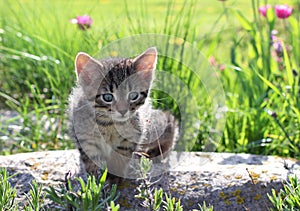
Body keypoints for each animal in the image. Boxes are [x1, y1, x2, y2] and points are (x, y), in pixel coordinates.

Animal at [69, 47, 178, 181]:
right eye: (107, 97)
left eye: (133, 95)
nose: (123, 110)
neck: (108, 125)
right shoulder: (85, 138)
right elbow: (91, 160)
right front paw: (94, 180)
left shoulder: (130, 138)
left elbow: (119, 159)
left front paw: (113, 179)